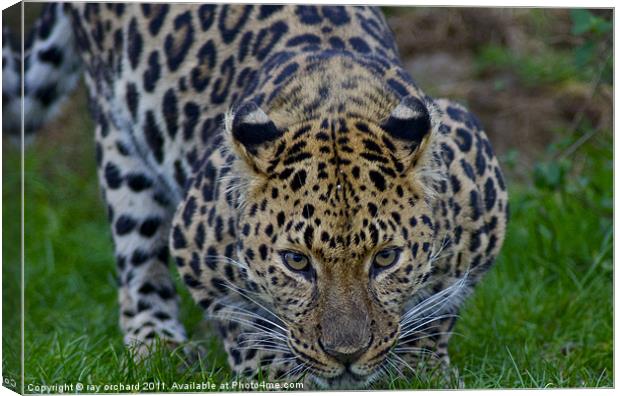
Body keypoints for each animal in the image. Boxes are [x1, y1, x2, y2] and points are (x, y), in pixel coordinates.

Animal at [3, 1, 508, 388]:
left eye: (385, 258)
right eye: (296, 262)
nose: (345, 354)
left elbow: (439, 305)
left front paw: (418, 370)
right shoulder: (195, 244)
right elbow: (241, 322)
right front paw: (276, 376)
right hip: (120, 143)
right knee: (136, 265)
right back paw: (158, 346)